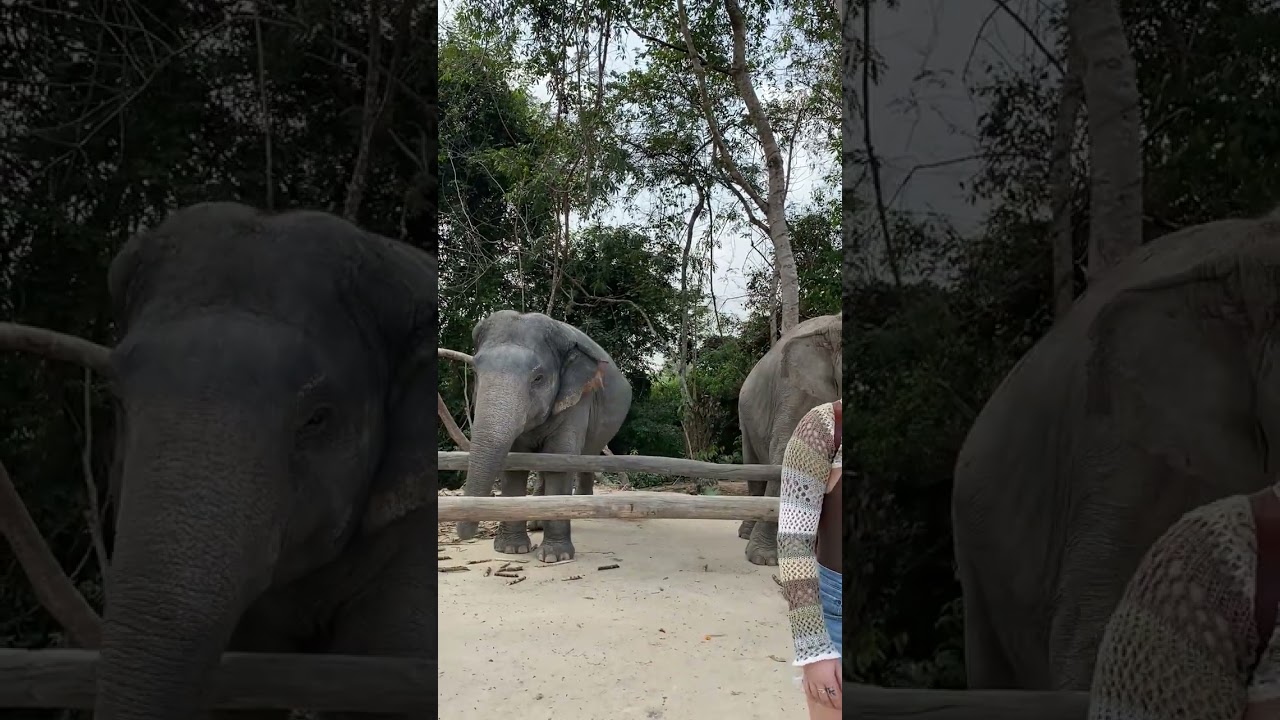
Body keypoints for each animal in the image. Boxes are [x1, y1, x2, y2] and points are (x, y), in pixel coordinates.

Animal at [454, 310, 632, 562]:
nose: (466, 535)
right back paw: (536, 523)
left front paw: (554, 556)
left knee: (585, 459)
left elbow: (560, 459)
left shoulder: (579, 400)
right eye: (475, 372)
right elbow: (516, 464)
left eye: (538, 378)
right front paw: (512, 549)